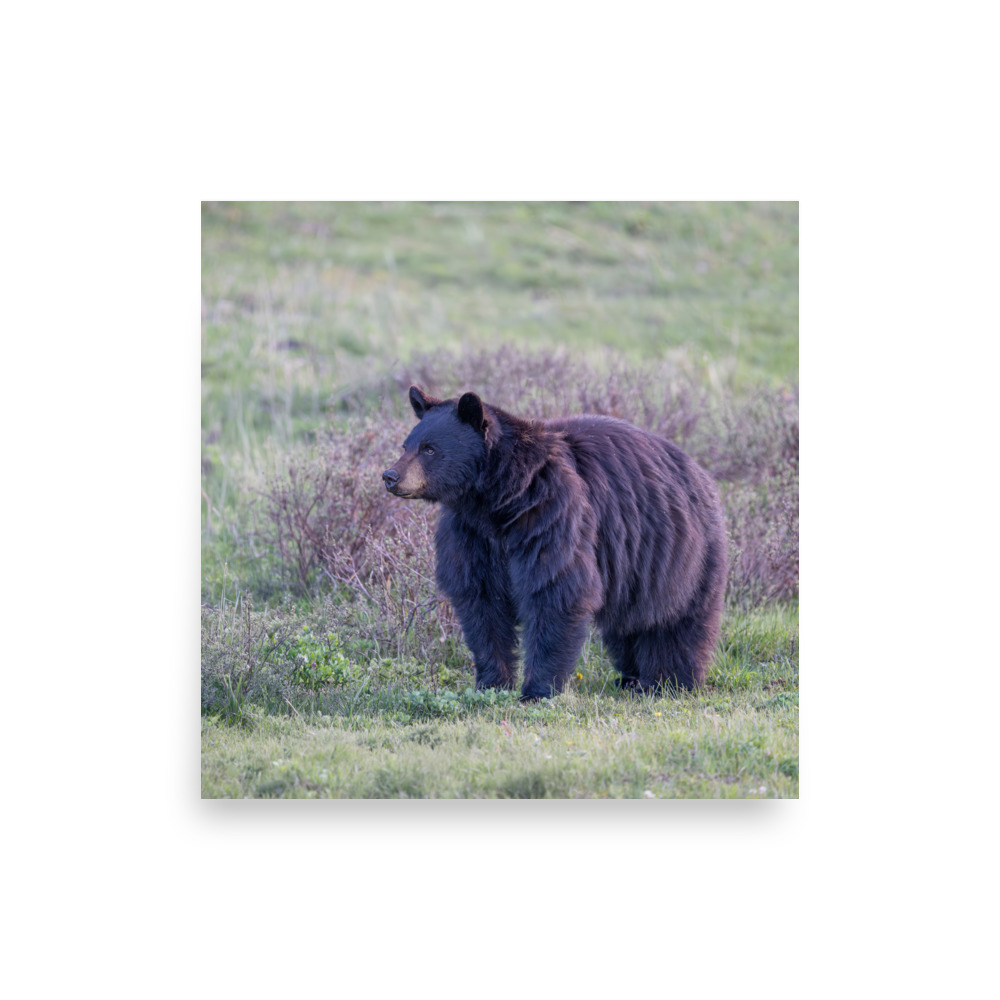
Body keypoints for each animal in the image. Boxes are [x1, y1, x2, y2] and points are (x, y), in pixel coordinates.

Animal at [382, 385, 728, 700]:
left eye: (429, 449)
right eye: (406, 444)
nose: (390, 476)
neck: (498, 500)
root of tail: (700, 472)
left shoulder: (551, 514)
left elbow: (555, 589)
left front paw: (537, 690)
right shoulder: (471, 535)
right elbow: (481, 602)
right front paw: (491, 683)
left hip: (681, 553)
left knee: (677, 621)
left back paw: (669, 681)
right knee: (628, 624)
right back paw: (631, 678)